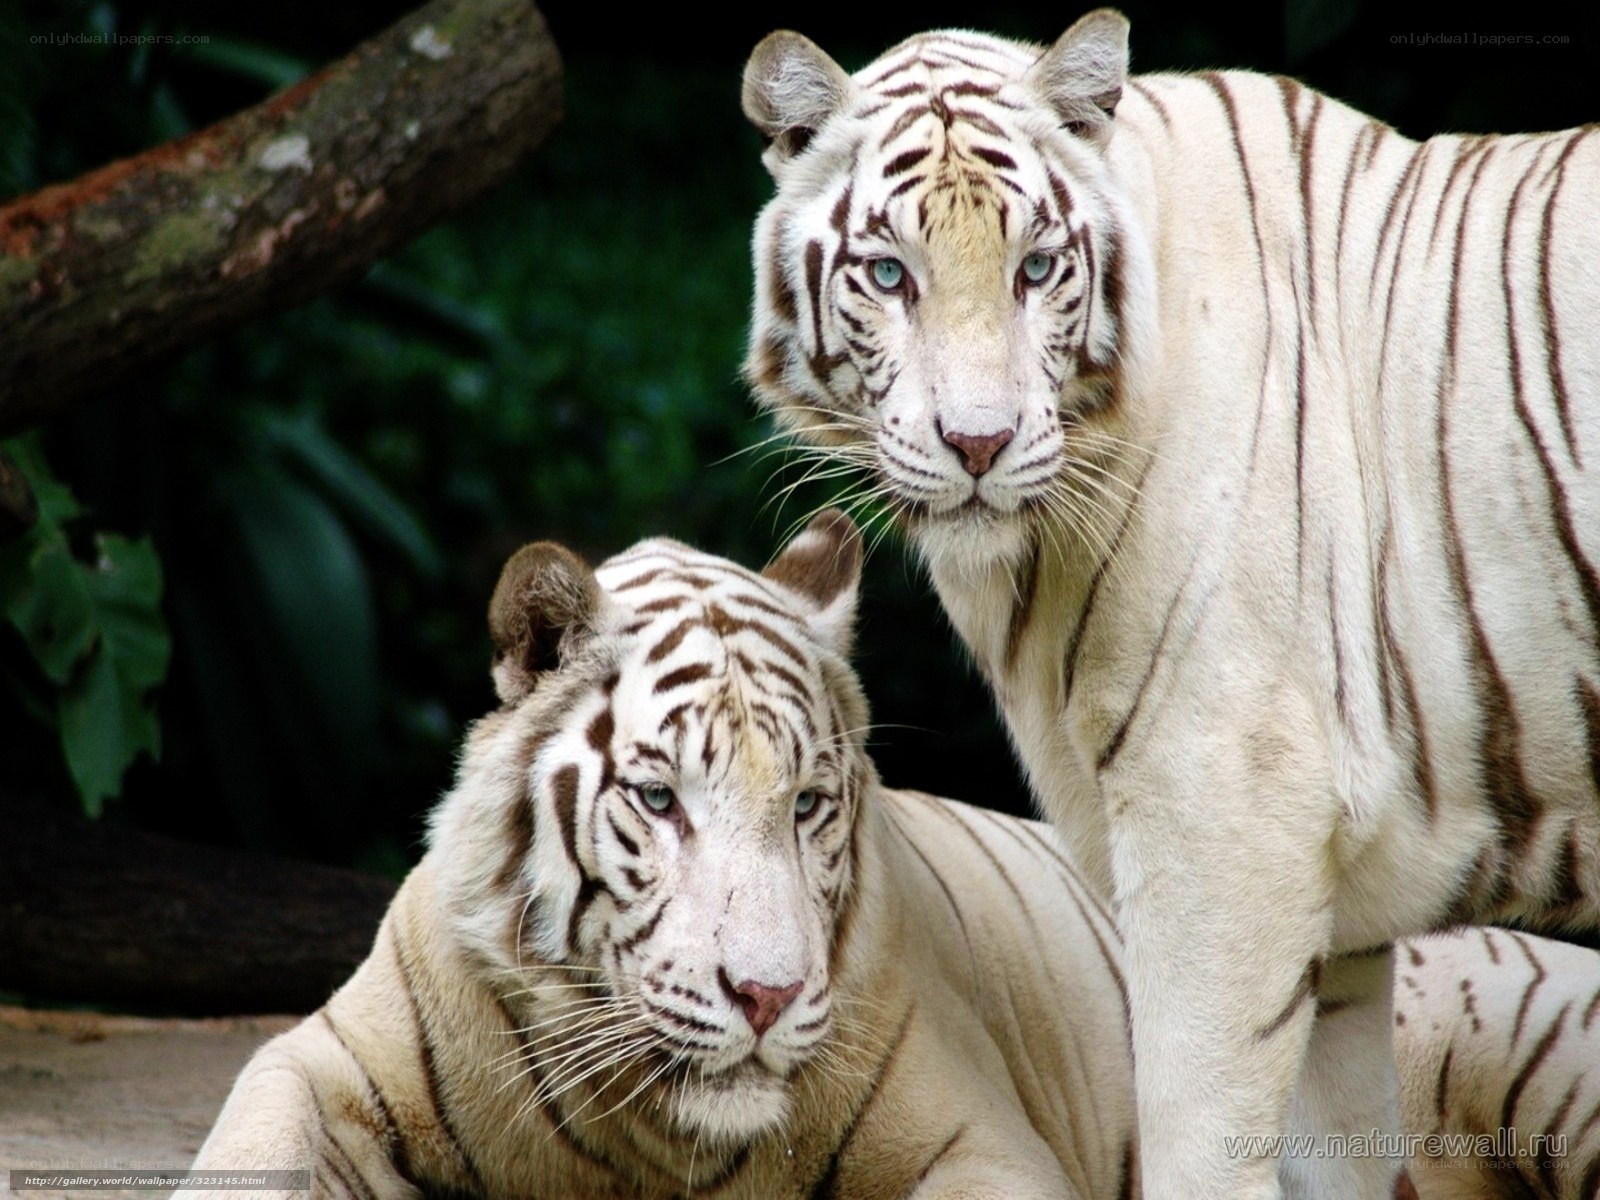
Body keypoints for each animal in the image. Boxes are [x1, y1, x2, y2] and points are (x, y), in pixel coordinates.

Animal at [190, 512, 1600, 1198]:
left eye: (811, 804)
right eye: (658, 798)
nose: (765, 997)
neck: (642, 1147)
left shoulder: (980, 1144)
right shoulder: (316, 1060)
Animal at [741, 10, 1599, 1199]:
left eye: (1036, 267)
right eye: (886, 273)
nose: (978, 444)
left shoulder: (1223, 825)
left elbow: (1198, 1138)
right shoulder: (1336, 934)